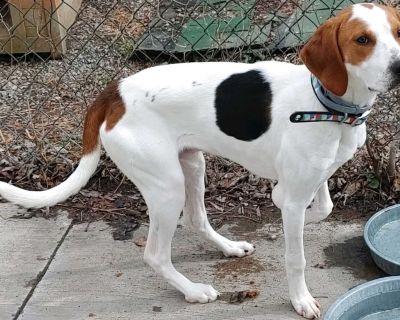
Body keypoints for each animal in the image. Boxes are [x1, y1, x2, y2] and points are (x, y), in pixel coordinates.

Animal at [0, 3, 400, 318]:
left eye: (397, 32)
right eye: (362, 40)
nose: (399, 67)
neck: (327, 103)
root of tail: (115, 90)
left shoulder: (313, 179)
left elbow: (323, 205)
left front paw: (289, 211)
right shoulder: (296, 193)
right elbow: (296, 253)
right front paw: (300, 299)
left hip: (192, 164)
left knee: (195, 218)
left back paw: (228, 247)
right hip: (167, 187)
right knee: (155, 255)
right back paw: (193, 291)